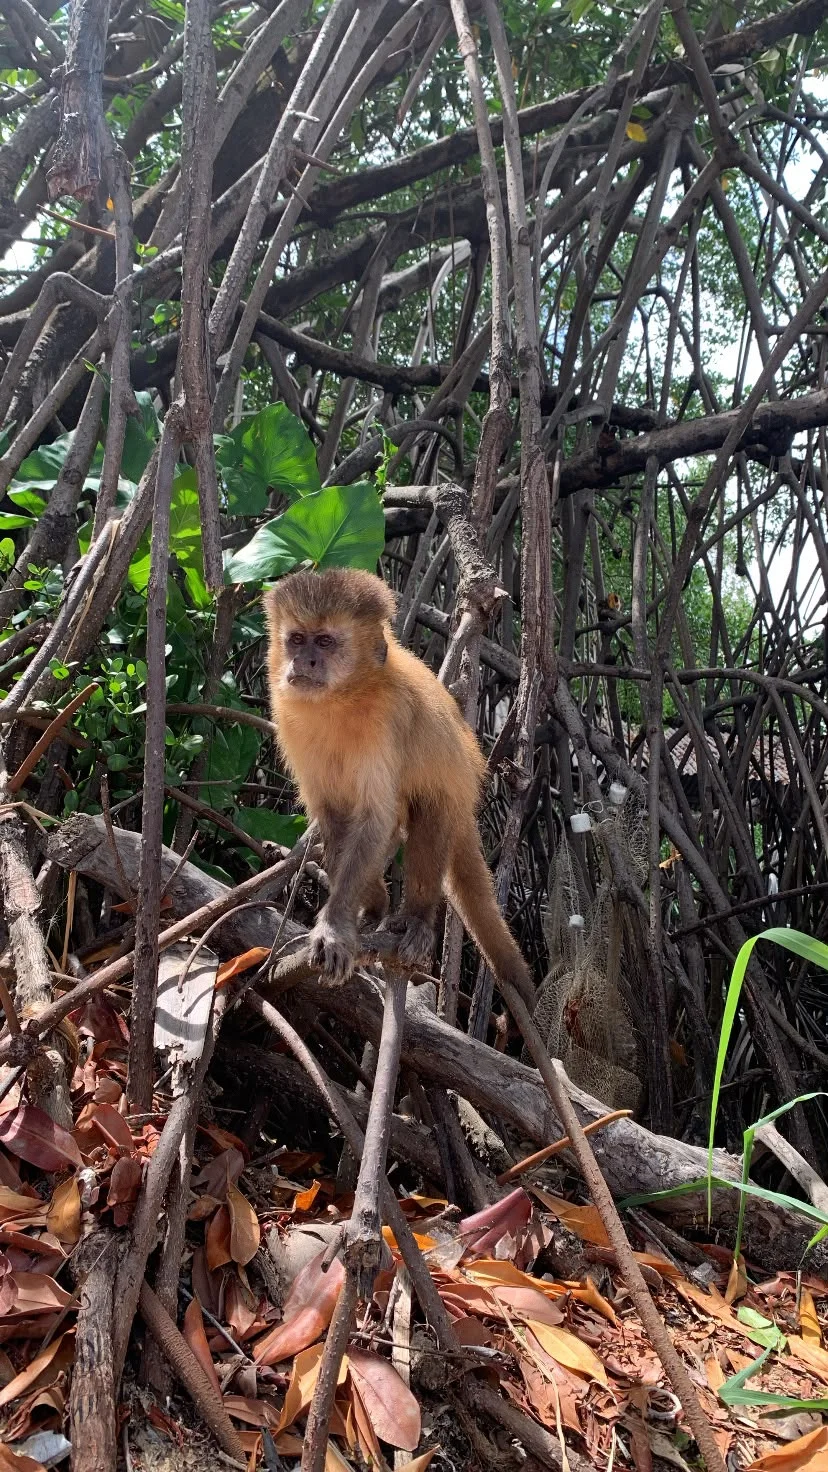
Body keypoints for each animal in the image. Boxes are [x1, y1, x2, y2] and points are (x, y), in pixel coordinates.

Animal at [264, 567, 534, 1007]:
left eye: (325, 642)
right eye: (297, 639)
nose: (305, 661)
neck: (342, 697)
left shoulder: (387, 718)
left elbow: (375, 816)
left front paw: (335, 927)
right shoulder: (287, 716)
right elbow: (334, 816)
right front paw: (366, 909)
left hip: (456, 788)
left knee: (429, 810)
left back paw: (417, 919)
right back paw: (378, 906)